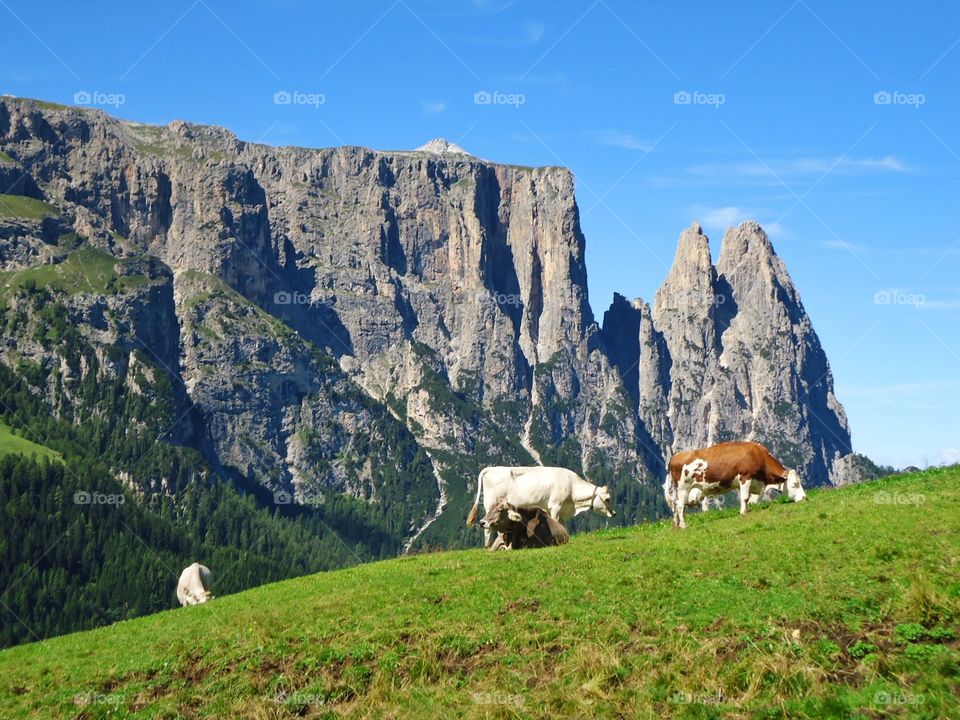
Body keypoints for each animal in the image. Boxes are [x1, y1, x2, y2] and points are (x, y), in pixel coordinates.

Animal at [464, 466, 616, 544]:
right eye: (608, 499)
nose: (614, 514)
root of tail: (491, 468)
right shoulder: (555, 506)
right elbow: (555, 521)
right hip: (491, 505)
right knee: (487, 528)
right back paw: (487, 547)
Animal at [664, 438, 808, 528]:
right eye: (794, 485)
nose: (804, 498)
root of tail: (675, 456)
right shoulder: (745, 477)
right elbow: (744, 497)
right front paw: (743, 513)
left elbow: (749, 498)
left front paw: (747, 510)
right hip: (683, 487)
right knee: (680, 506)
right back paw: (684, 525)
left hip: (678, 490)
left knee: (675, 505)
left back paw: (676, 525)